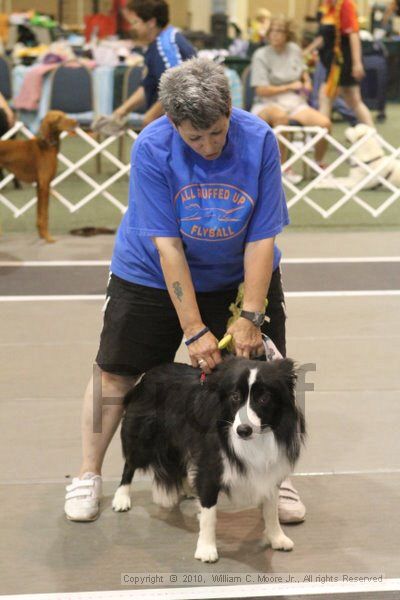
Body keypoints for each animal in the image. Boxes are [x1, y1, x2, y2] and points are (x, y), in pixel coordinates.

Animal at [0, 110, 76, 241]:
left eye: (65, 115)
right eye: (58, 118)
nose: (76, 122)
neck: (47, 146)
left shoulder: (40, 186)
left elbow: (40, 213)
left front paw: (41, 235)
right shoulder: (44, 185)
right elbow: (45, 214)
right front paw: (47, 237)